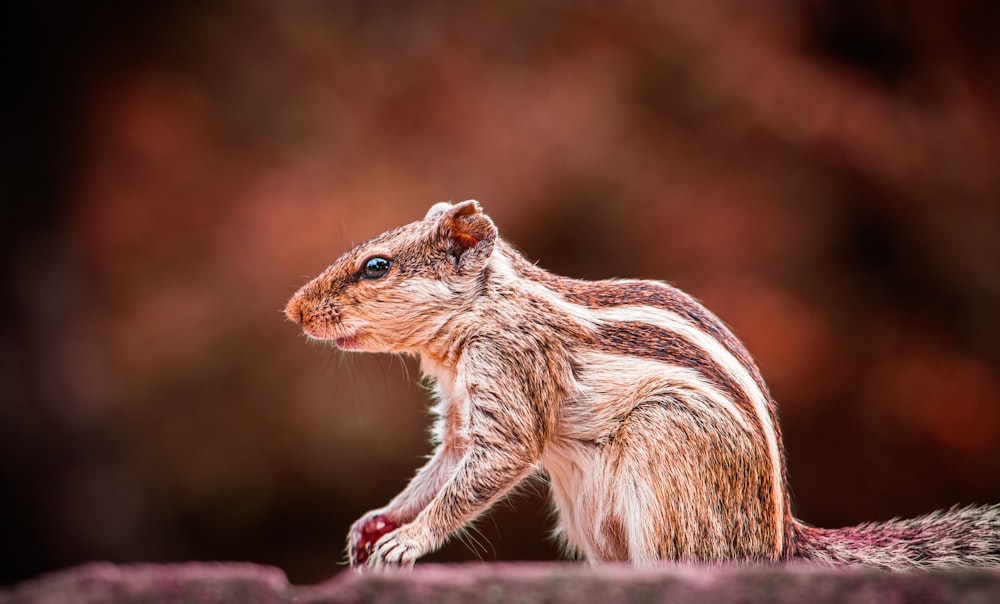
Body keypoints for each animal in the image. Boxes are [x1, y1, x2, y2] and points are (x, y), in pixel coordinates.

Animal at [282, 201, 1000, 568]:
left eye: (377, 267)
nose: (292, 312)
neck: (485, 311)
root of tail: (778, 539)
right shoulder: (461, 416)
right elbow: (439, 469)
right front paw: (377, 521)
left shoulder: (509, 382)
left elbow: (478, 477)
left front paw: (409, 540)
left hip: (666, 459)